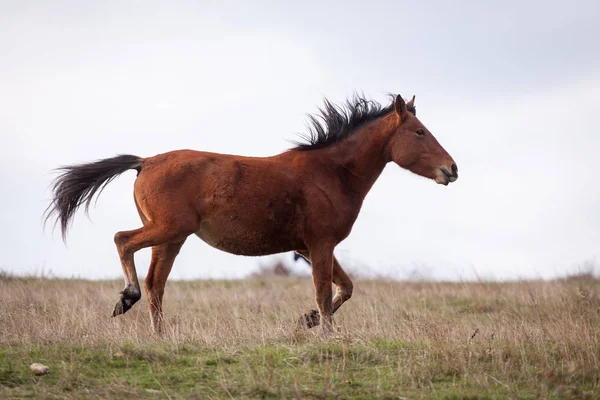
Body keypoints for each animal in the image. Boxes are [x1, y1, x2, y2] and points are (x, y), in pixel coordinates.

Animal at [44, 94, 460, 334]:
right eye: (420, 132)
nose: (452, 169)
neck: (331, 172)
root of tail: (144, 162)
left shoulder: (310, 246)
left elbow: (344, 287)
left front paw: (308, 320)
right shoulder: (320, 244)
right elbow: (325, 292)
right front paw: (326, 333)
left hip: (172, 237)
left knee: (155, 283)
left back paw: (159, 335)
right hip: (169, 228)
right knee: (124, 243)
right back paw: (126, 298)